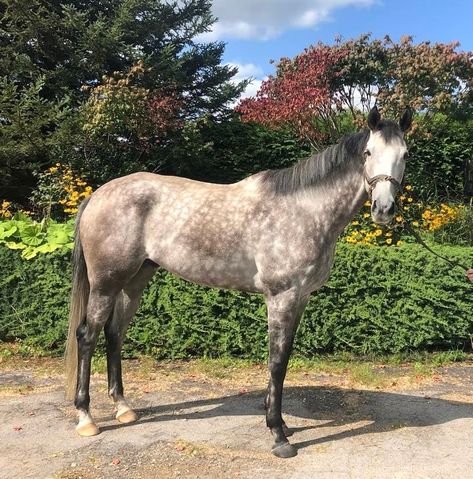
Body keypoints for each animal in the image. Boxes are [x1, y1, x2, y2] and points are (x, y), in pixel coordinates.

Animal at [65, 107, 410, 460]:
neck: (303, 210)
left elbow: (283, 359)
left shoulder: (299, 299)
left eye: (405, 155)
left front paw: (280, 423)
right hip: (105, 284)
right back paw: (86, 418)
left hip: (134, 281)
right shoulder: (281, 297)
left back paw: (123, 408)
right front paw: (278, 436)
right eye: (368, 153)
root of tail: (96, 195)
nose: (383, 209)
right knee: (88, 335)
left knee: (114, 334)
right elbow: (276, 362)